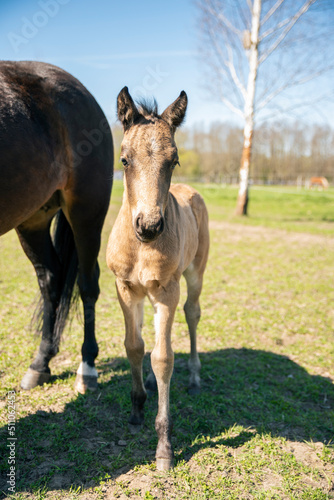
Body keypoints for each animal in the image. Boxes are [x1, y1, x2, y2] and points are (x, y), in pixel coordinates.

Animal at [0, 61, 113, 390]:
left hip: (87, 214)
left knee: (87, 284)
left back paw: (87, 366)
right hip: (33, 221)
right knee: (50, 280)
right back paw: (41, 363)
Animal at [107, 88, 209, 470]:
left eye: (174, 160)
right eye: (124, 160)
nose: (149, 226)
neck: (142, 248)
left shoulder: (167, 290)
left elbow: (164, 358)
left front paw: (164, 446)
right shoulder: (125, 289)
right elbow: (134, 346)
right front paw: (137, 408)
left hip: (193, 275)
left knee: (192, 314)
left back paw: (194, 378)